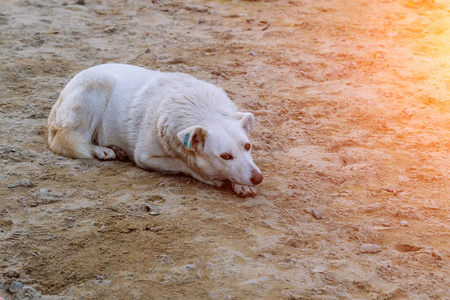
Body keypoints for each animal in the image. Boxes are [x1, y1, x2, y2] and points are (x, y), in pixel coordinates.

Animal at [47, 62, 262, 197]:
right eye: (225, 156)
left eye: (248, 146)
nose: (258, 178)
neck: (202, 109)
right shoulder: (145, 157)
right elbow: (183, 164)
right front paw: (210, 177)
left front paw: (241, 184)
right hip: (94, 91)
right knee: (68, 141)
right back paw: (101, 150)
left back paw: (116, 150)